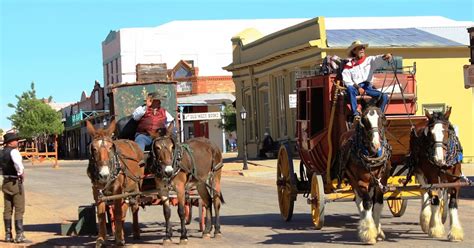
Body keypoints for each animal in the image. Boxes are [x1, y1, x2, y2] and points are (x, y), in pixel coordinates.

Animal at [85, 119, 144, 247]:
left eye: (110, 148)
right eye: (94, 149)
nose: (104, 175)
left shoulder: (118, 190)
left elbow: (117, 213)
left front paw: (119, 239)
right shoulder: (97, 192)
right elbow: (101, 216)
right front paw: (101, 239)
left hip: (136, 186)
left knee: (134, 207)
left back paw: (135, 233)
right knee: (124, 208)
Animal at [336, 101, 392, 244]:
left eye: (382, 117)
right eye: (364, 119)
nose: (376, 145)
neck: (373, 156)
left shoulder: (381, 181)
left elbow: (377, 205)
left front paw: (378, 231)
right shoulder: (362, 182)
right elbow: (367, 203)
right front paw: (369, 234)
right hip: (354, 180)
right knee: (359, 201)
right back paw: (363, 221)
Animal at [406, 107, 464, 242]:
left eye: (446, 132)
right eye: (430, 133)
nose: (438, 159)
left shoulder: (455, 179)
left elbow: (452, 203)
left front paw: (455, 232)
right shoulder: (431, 177)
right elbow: (435, 199)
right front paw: (435, 228)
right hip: (419, 171)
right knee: (425, 192)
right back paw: (427, 219)